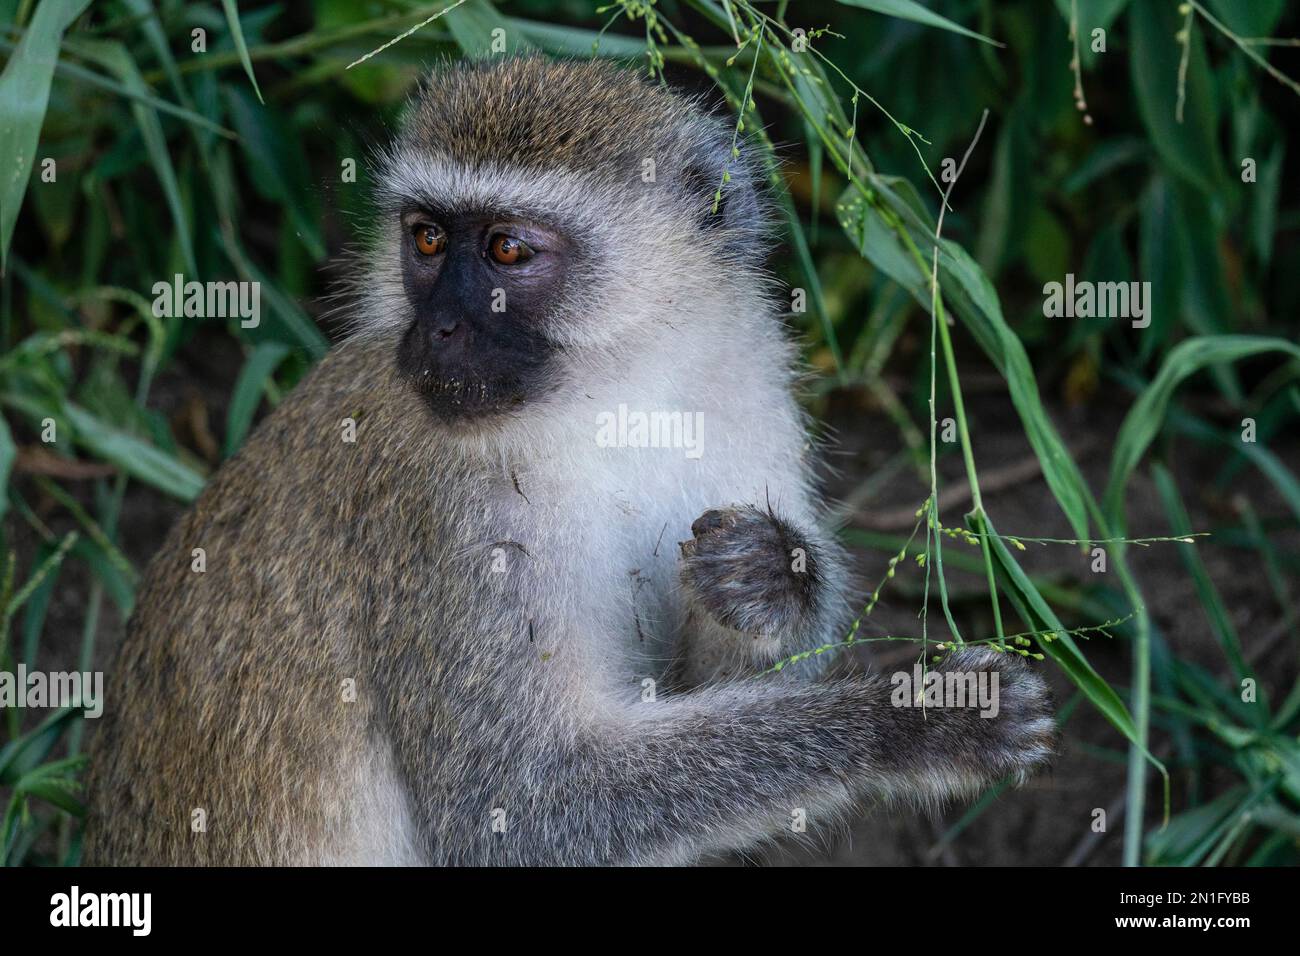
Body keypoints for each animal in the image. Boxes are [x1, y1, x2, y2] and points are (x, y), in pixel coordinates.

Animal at [84, 56, 1053, 866]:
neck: (611, 401)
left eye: (508, 249)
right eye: (426, 239)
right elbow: (523, 807)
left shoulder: (743, 402)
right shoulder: (442, 513)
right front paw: (910, 720)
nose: (438, 330)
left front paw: (774, 575)